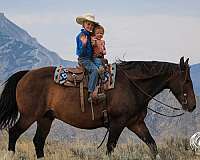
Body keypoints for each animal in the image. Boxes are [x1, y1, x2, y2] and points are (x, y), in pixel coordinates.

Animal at [0, 57, 196, 159]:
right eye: (187, 80)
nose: (193, 106)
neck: (133, 85)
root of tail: (26, 74)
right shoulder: (117, 123)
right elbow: (110, 147)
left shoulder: (136, 123)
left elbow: (152, 145)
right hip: (29, 116)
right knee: (14, 132)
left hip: (45, 118)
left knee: (38, 141)